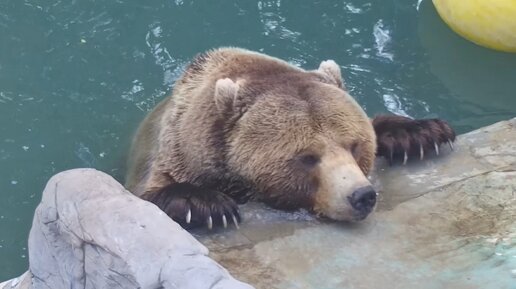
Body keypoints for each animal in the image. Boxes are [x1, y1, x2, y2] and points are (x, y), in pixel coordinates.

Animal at [125, 47, 456, 228]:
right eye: (307, 157)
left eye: (355, 145)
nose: (362, 195)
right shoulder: (175, 154)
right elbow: (150, 193)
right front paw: (207, 206)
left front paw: (422, 134)